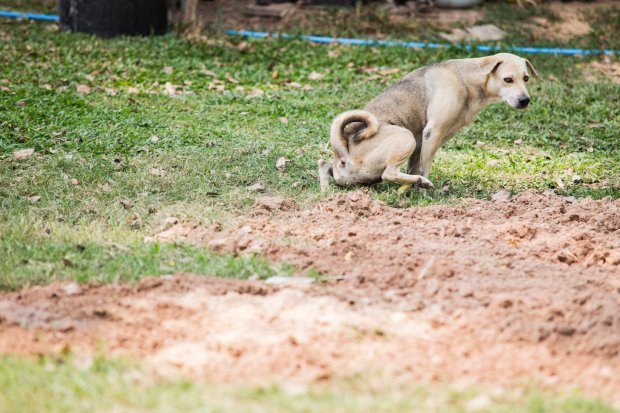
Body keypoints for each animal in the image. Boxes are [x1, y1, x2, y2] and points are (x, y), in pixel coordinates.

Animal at [320, 52, 536, 192]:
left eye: (526, 78)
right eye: (508, 79)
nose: (525, 101)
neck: (466, 79)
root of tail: (343, 153)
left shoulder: (422, 141)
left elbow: (415, 164)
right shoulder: (432, 133)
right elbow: (425, 168)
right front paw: (422, 190)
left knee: (324, 165)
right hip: (405, 137)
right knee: (388, 174)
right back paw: (421, 182)